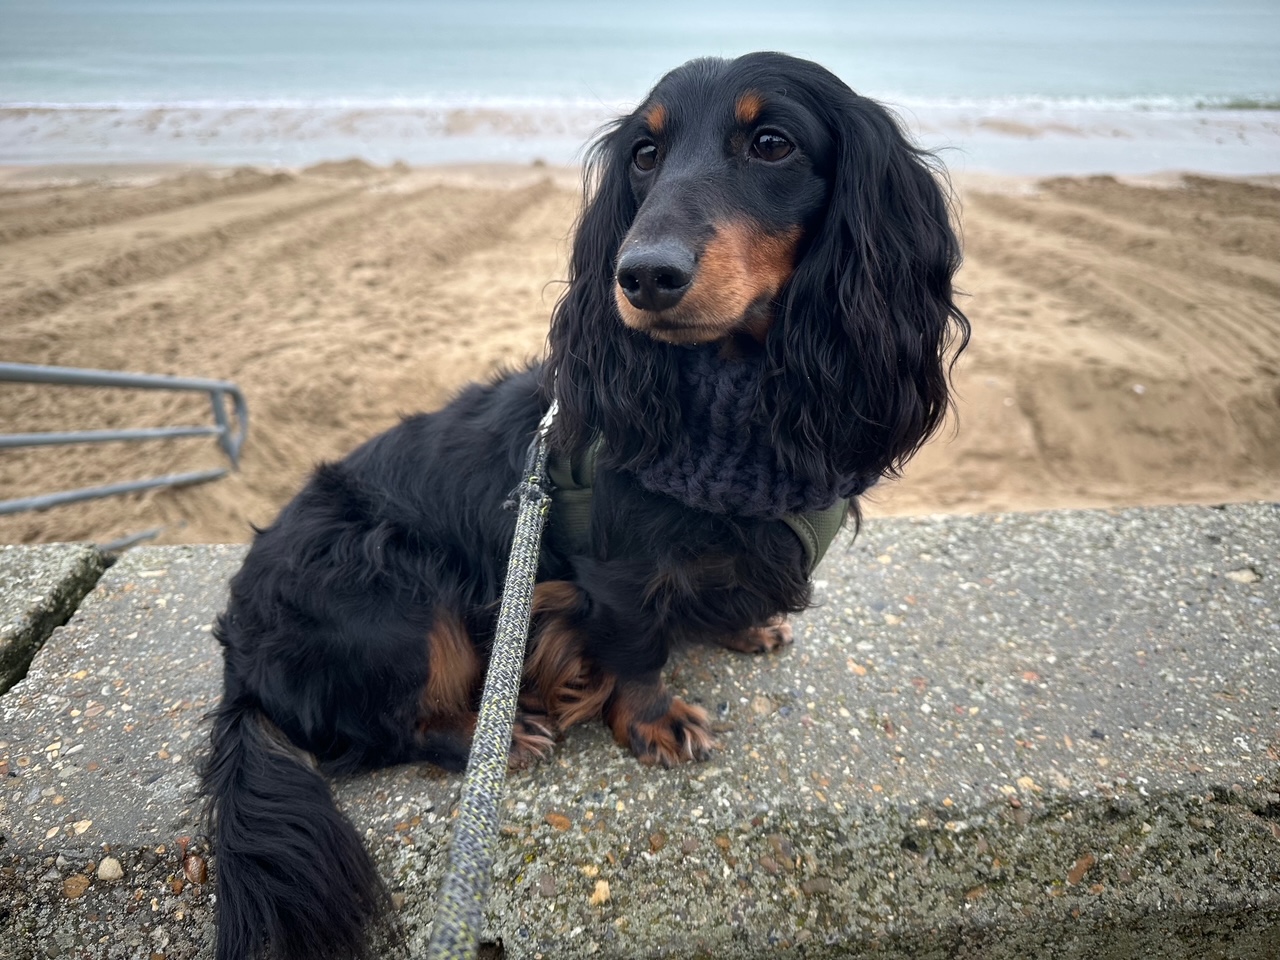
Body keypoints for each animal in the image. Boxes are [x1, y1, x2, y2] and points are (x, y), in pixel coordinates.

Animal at [199, 52, 962, 960]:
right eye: (644, 154)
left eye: (772, 143)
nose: (643, 276)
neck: (734, 414)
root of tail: (241, 657)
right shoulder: (616, 574)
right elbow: (637, 652)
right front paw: (655, 723)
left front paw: (746, 628)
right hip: (391, 593)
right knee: (385, 729)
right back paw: (492, 735)